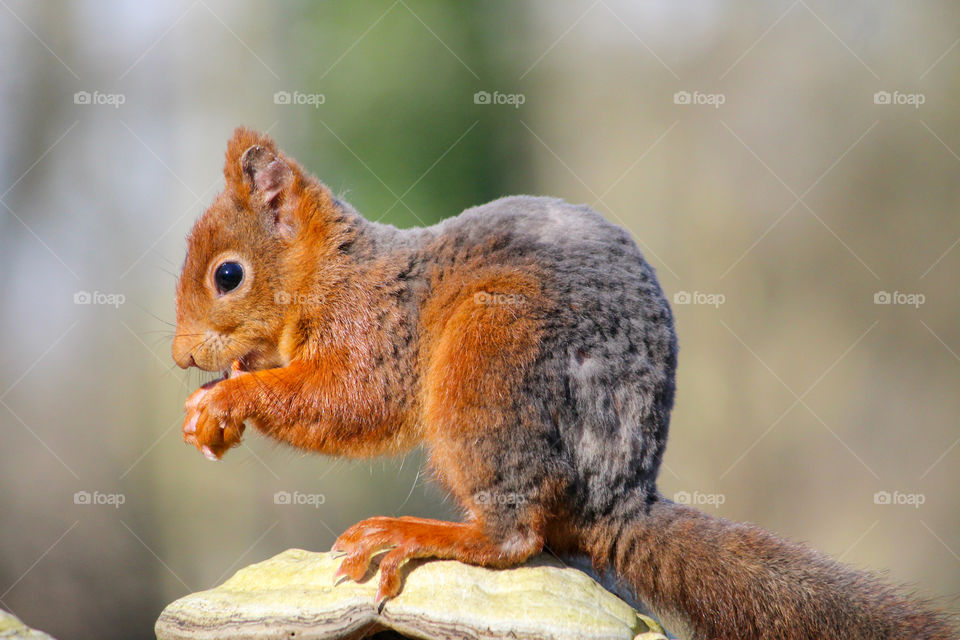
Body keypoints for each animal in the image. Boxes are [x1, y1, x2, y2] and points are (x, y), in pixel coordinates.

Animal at [172, 127, 955, 640]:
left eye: (228, 275)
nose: (181, 357)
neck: (332, 274)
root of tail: (618, 497)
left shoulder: (378, 334)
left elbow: (352, 401)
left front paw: (228, 397)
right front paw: (216, 396)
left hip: (490, 359)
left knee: (514, 536)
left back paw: (420, 534)